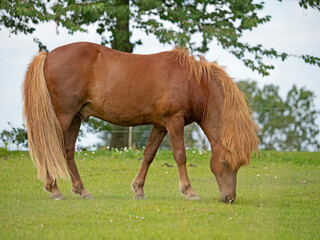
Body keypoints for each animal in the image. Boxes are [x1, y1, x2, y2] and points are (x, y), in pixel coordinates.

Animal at [23, 42, 262, 202]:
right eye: (224, 164)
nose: (230, 198)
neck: (193, 82)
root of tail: (48, 55)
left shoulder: (160, 125)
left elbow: (148, 155)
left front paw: (138, 189)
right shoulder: (174, 121)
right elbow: (180, 156)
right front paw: (189, 191)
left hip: (74, 119)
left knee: (67, 152)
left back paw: (82, 190)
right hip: (63, 116)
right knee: (50, 148)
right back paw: (54, 190)